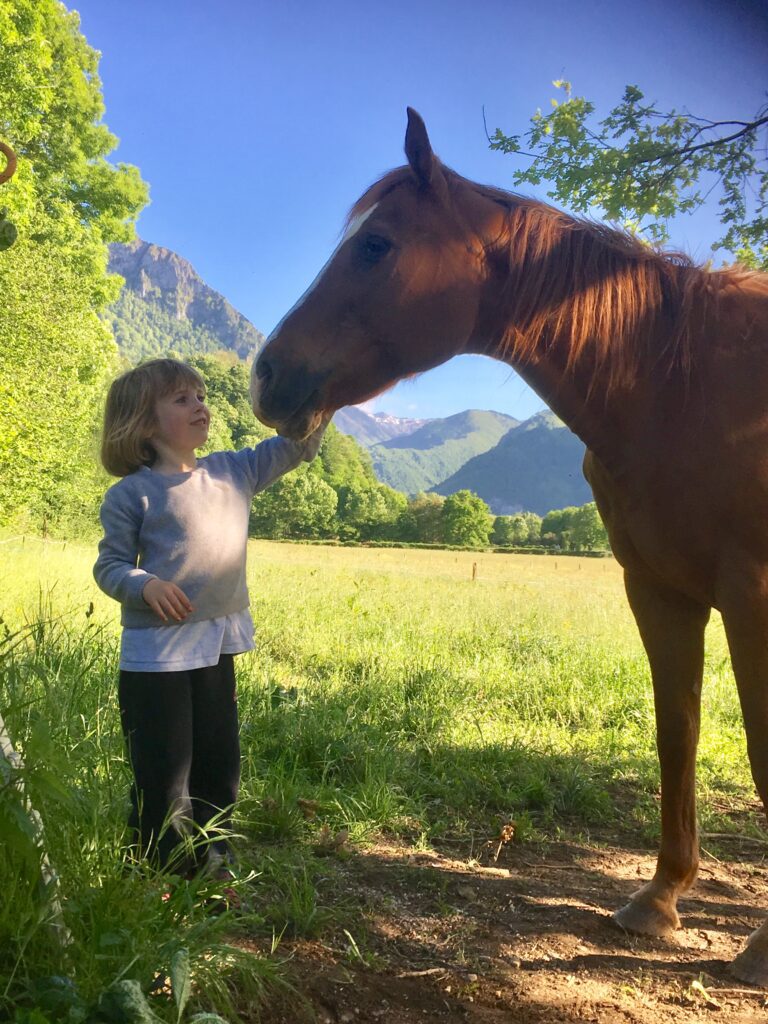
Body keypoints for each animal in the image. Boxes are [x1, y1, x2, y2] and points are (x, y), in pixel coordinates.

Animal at [251, 108, 768, 985]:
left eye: (375, 245)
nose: (264, 375)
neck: (682, 382)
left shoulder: (753, 598)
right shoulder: (659, 590)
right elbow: (678, 735)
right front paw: (660, 898)